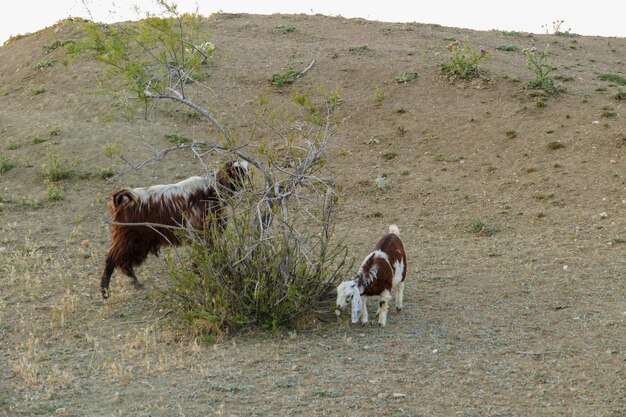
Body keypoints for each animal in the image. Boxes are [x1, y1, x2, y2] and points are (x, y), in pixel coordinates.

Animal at [98, 160, 247, 300]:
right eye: (239, 172)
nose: (248, 186)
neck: (209, 189)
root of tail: (121, 201)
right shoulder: (198, 234)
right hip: (129, 239)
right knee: (112, 259)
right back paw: (106, 289)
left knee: (122, 261)